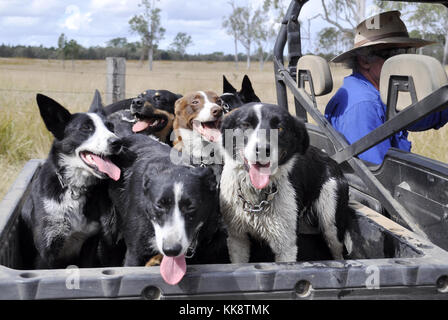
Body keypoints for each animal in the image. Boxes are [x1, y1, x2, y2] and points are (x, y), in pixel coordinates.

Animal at [20, 90, 122, 268]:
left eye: (110, 127)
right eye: (86, 128)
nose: (118, 142)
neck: (73, 188)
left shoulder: (90, 243)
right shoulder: (46, 252)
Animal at [219, 102, 352, 262]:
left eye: (280, 128)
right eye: (245, 124)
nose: (262, 150)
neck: (257, 197)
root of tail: (332, 162)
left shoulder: (286, 247)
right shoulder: (237, 238)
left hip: (331, 224)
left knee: (338, 254)